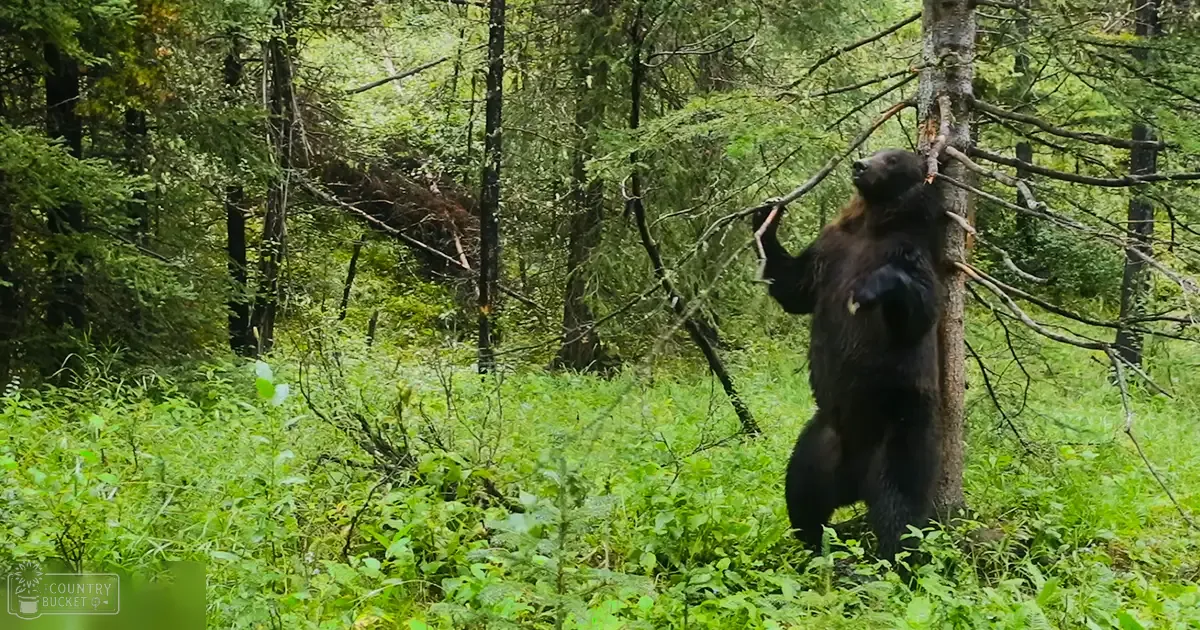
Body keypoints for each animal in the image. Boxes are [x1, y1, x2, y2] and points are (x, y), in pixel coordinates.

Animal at [751, 148, 947, 563]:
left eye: (892, 159)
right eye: (874, 151)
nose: (860, 164)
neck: (871, 225)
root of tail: (855, 483)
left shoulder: (910, 253)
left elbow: (919, 311)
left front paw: (872, 288)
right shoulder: (830, 250)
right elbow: (795, 286)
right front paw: (766, 216)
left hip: (900, 426)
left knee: (899, 502)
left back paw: (893, 561)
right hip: (824, 437)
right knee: (801, 489)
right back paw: (814, 544)